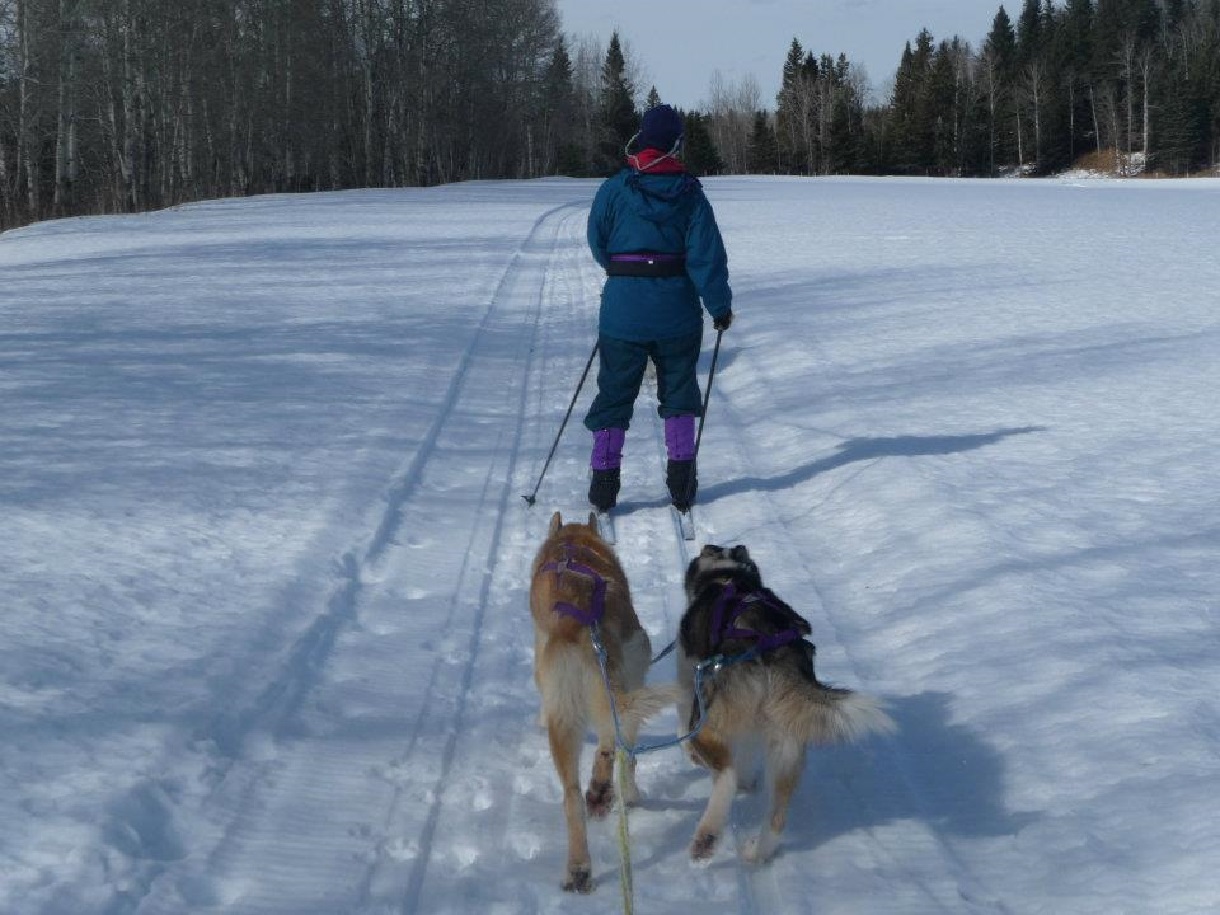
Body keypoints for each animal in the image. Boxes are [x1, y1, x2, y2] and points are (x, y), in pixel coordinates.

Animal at [527, 512, 673, 893]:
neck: (574, 543)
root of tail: (578, 627)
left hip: (571, 719)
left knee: (574, 793)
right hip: (620, 690)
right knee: (612, 753)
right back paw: (604, 794)